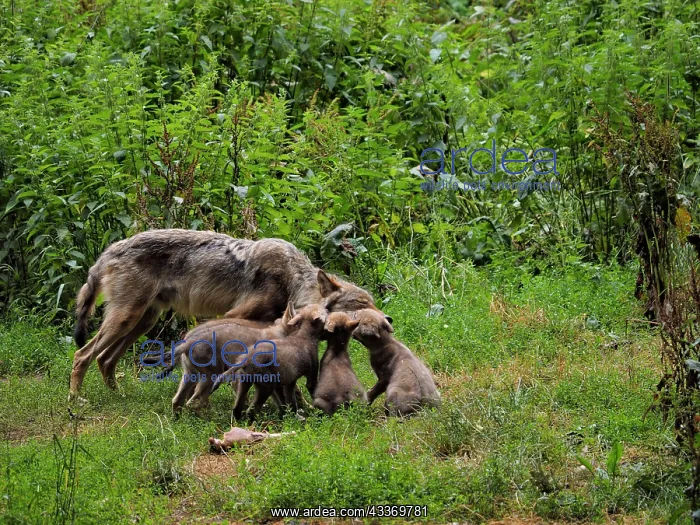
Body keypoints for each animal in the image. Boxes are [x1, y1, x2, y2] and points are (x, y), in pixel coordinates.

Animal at [70, 229, 389, 397]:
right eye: (362, 304)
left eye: (372, 301)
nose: (390, 319)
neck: (291, 281)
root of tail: (109, 250)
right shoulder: (230, 316)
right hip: (127, 319)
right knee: (82, 355)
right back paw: (76, 401)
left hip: (142, 322)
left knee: (104, 359)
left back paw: (118, 395)